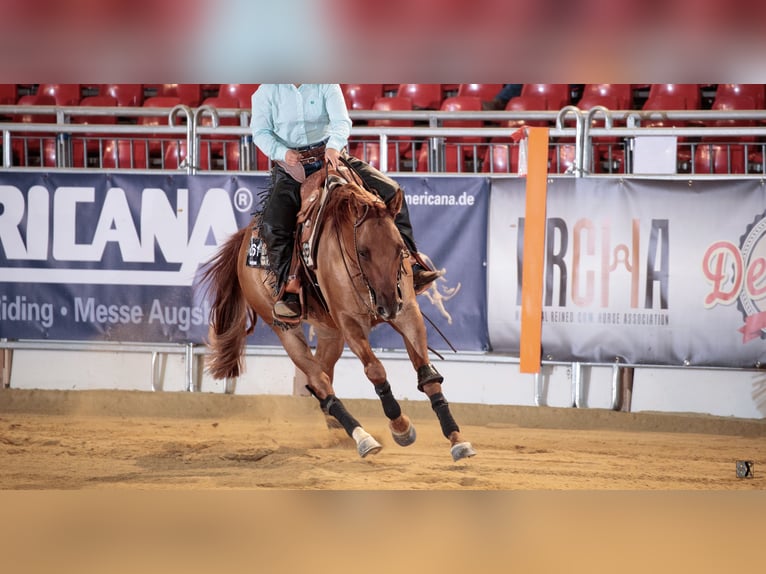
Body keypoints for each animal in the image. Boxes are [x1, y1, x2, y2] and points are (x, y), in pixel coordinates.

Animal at [202, 166, 480, 464]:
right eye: (364, 252)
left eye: (399, 248)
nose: (387, 306)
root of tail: (245, 239)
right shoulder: (350, 322)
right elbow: (375, 370)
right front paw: (400, 426)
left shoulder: (407, 313)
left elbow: (427, 375)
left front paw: (457, 439)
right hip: (284, 328)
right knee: (319, 380)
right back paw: (362, 437)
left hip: (329, 331)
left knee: (320, 376)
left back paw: (337, 430)